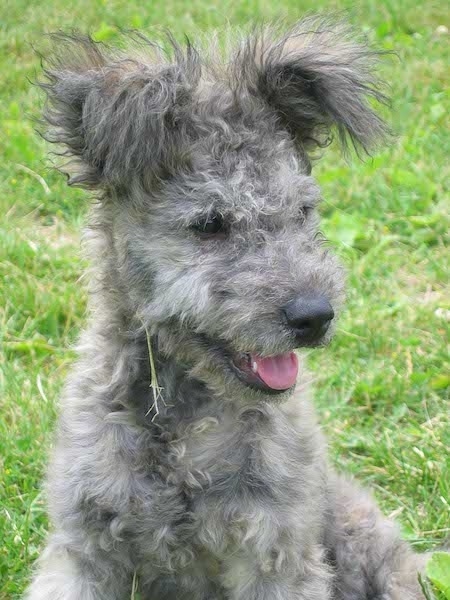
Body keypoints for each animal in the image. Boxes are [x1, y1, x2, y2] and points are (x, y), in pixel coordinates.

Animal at [26, 17, 428, 600]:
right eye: (210, 223)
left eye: (303, 211)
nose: (314, 316)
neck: (180, 424)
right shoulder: (83, 548)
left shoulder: (277, 553)